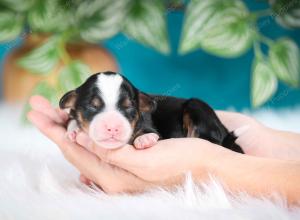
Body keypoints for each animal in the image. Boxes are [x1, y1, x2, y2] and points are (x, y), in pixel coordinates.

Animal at [59, 71, 244, 153]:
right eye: (93, 107)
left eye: (128, 107)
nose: (112, 127)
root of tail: (224, 130)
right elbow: (72, 118)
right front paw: (74, 131)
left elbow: (147, 131)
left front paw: (144, 139)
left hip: (197, 107)